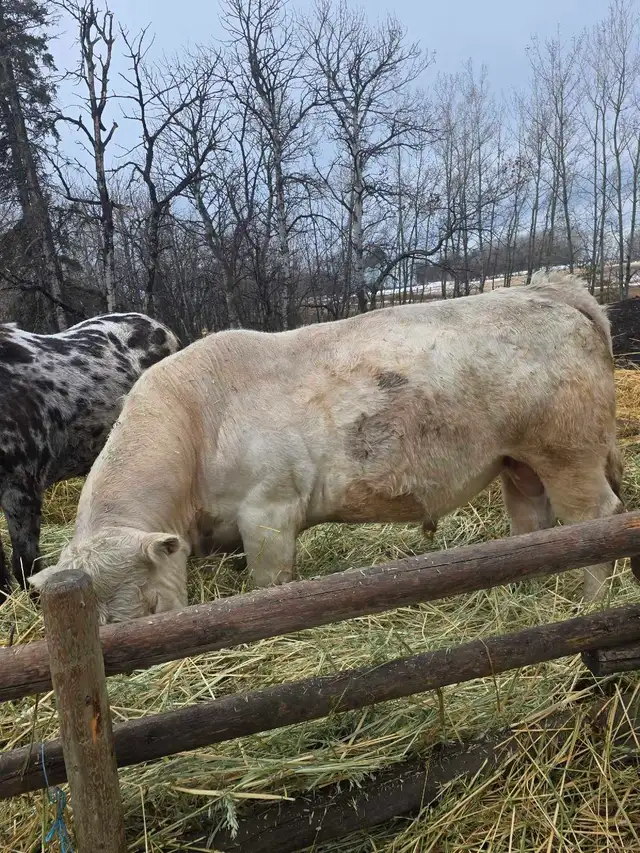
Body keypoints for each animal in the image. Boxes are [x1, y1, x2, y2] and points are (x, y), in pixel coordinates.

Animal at [30, 271, 625, 623]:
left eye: (152, 605)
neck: (197, 423)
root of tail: (551, 290)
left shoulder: (268, 510)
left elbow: (270, 583)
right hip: (519, 462)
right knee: (534, 522)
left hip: (569, 454)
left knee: (597, 517)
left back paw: (591, 600)